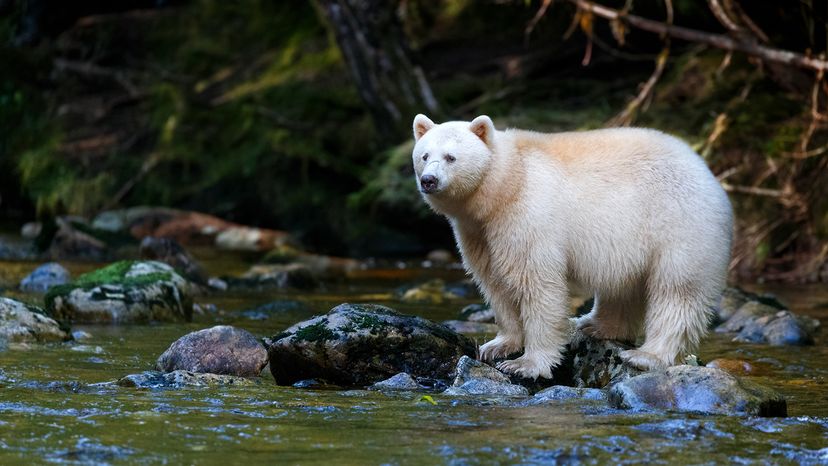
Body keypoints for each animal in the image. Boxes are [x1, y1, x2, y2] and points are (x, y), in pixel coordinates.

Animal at [411, 114, 733, 380]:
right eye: (424, 156)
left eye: (451, 157)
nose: (429, 180)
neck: (505, 183)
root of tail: (707, 172)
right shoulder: (479, 232)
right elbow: (495, 283)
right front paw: (497, 345)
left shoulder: (526, 216)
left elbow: (536, 283)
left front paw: (526, 364)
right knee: (622, 287)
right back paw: (593, 325)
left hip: (678, 224)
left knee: (677, 290)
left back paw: (646, 355)